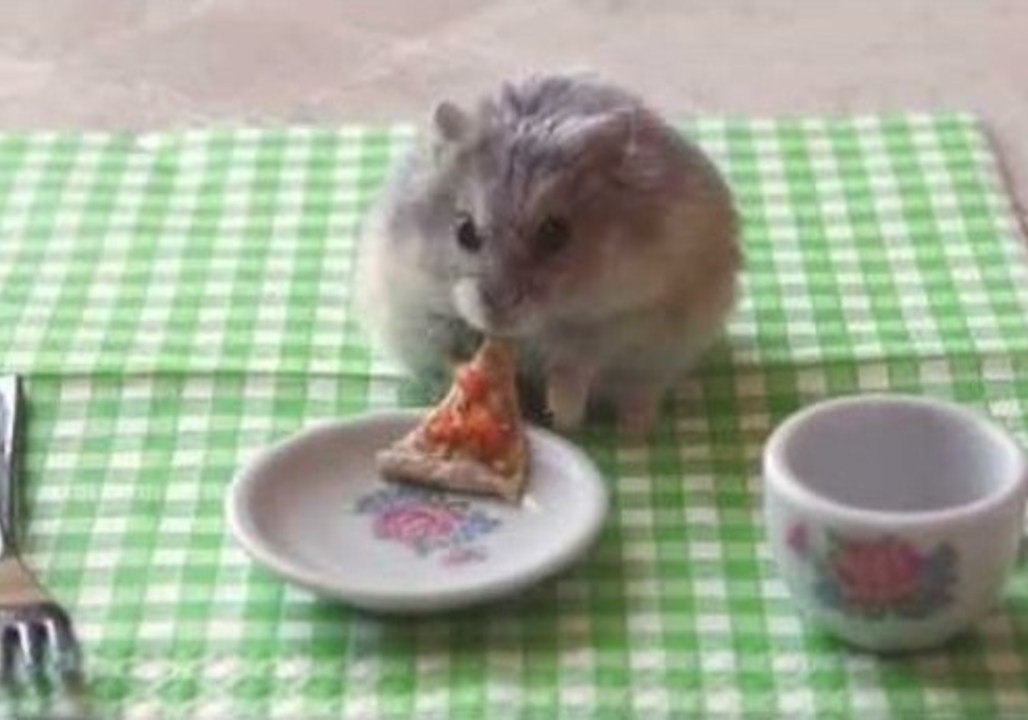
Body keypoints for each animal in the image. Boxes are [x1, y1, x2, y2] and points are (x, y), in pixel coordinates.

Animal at [356, 74, 741, 435]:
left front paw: (565, 415)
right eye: (464, 231)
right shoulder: (414, 311)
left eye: (555, 234)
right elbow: (449, 355)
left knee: (641, 392)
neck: (530, 333)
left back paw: (635, 429)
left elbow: (575, 367)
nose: (498, 315)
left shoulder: (625, 321)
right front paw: (470, 380)